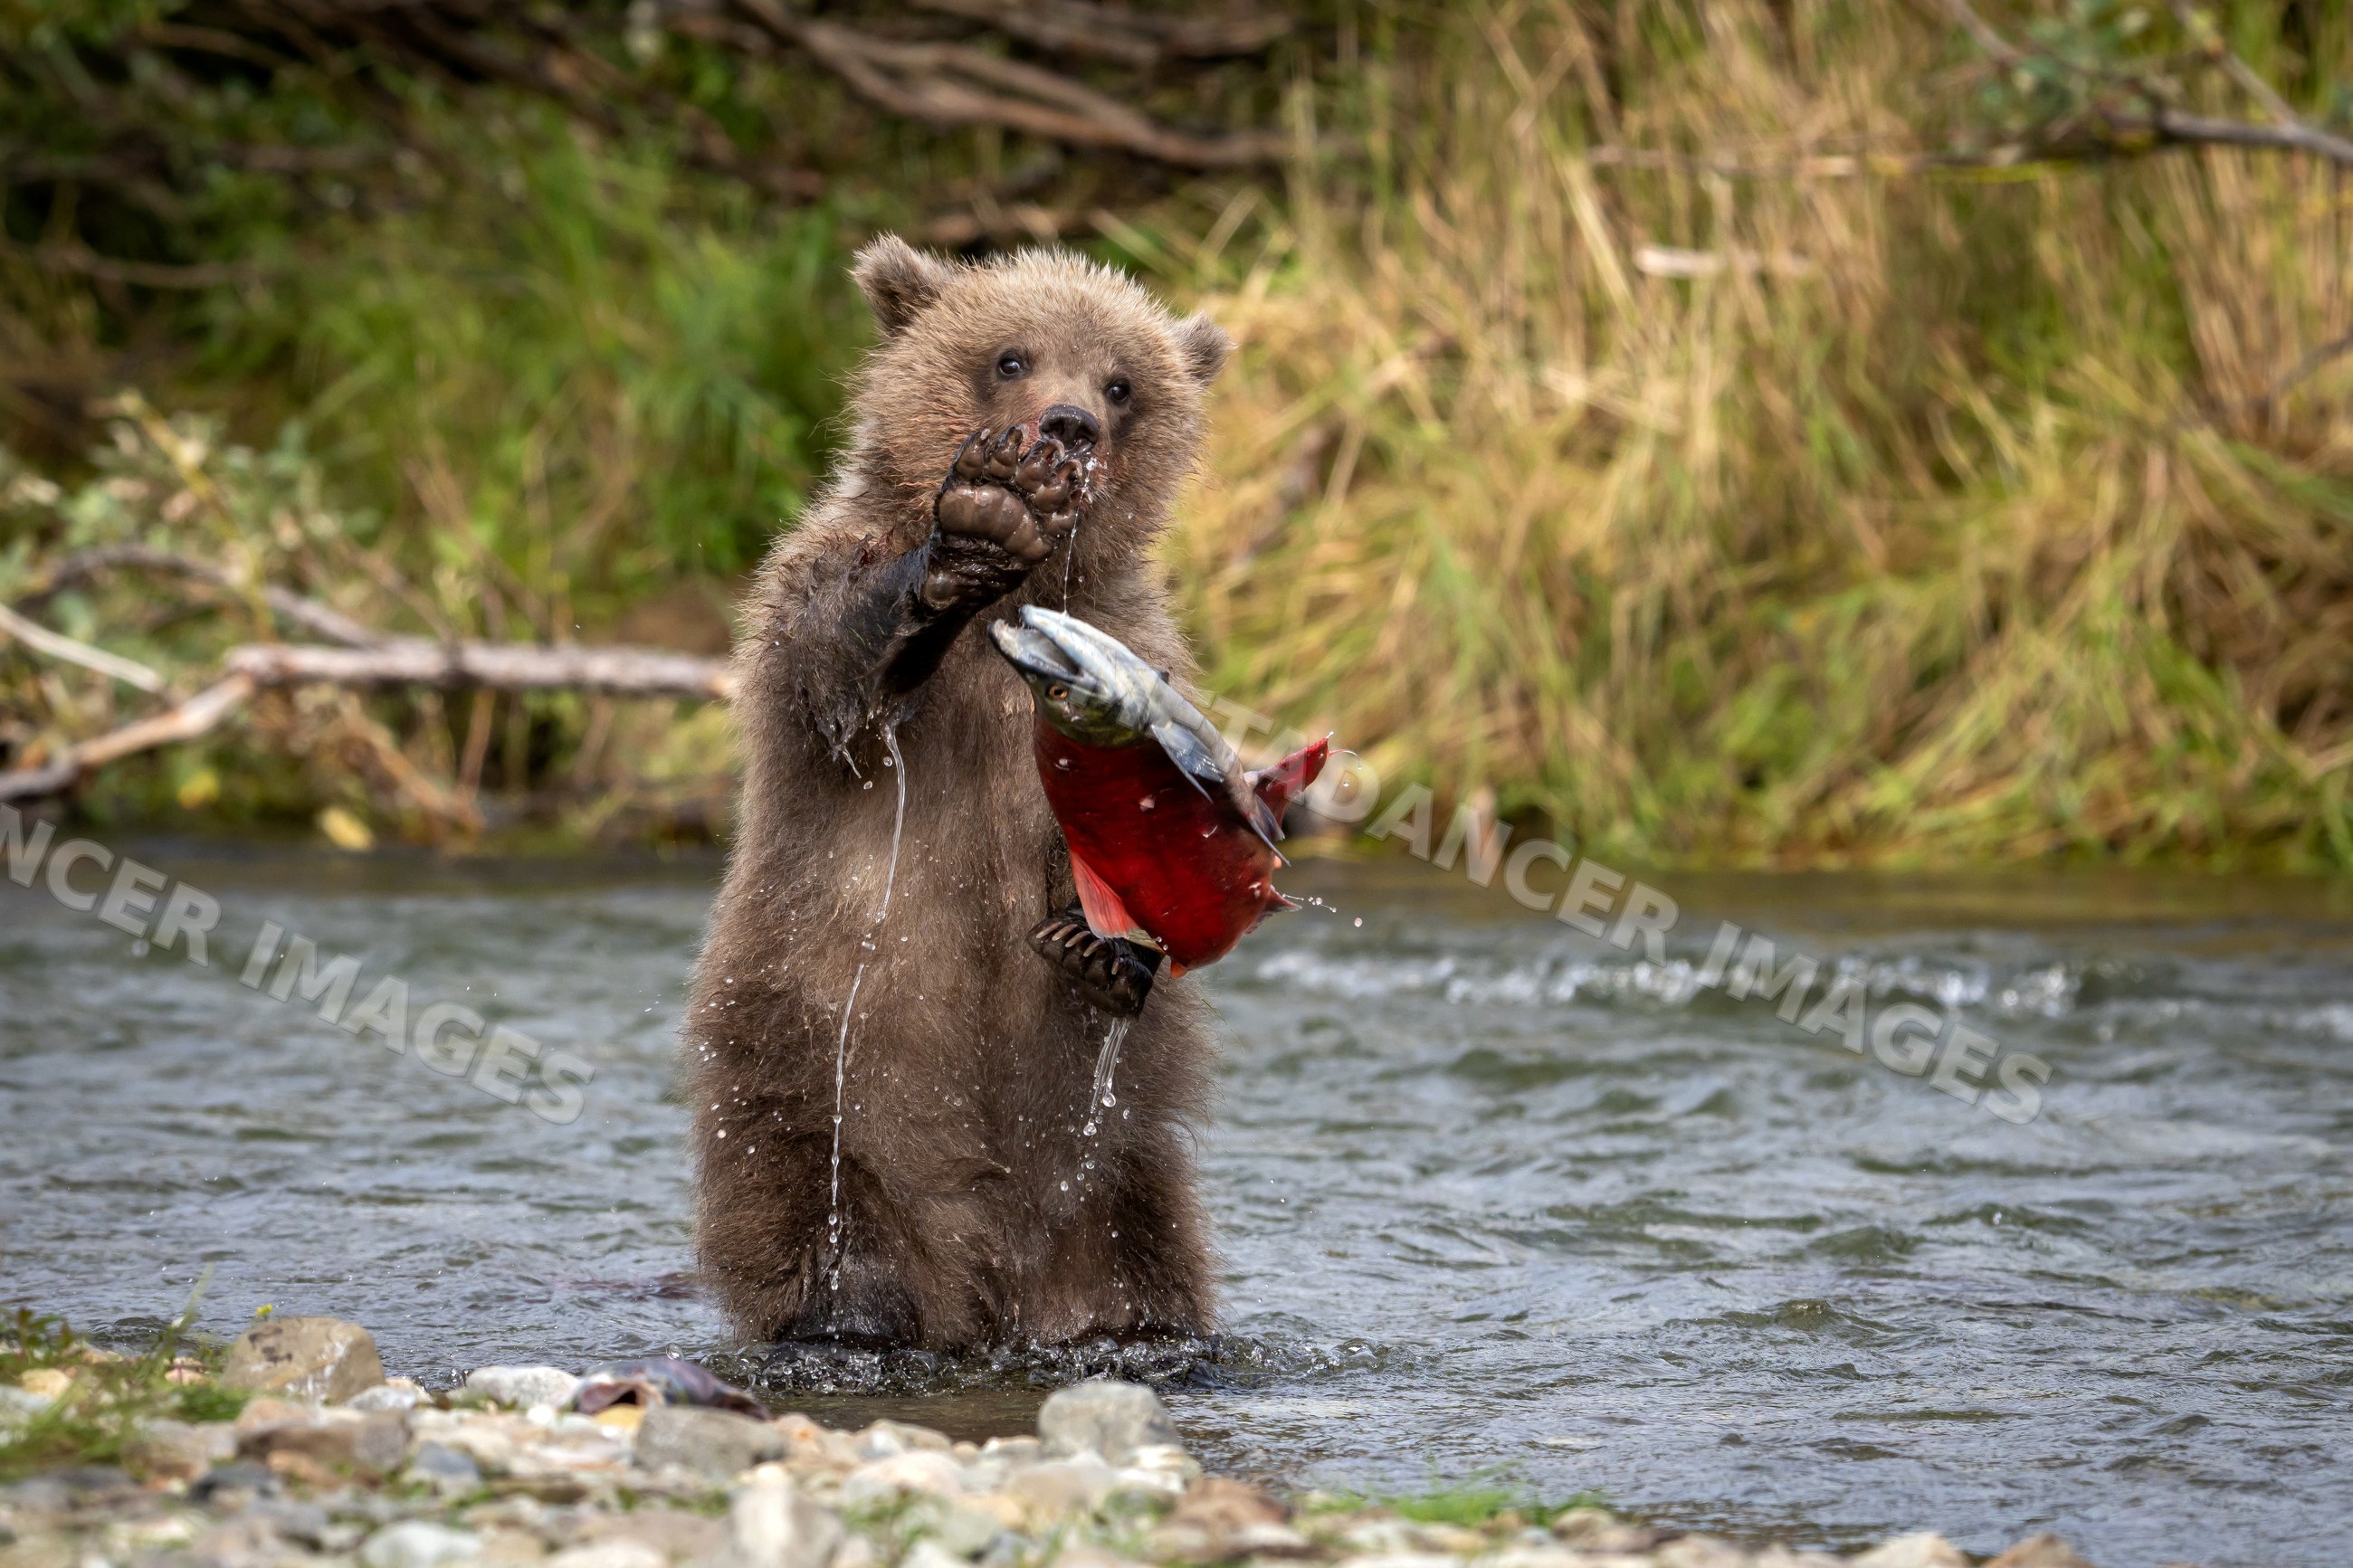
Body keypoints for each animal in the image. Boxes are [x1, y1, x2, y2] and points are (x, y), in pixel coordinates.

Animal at [682, 236, 1234, 1350]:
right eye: (1010, 355)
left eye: (1121, 381)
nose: (1067, 425)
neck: (1017, 606)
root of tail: (986, 1283)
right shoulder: (817, 594)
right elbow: (831, 657)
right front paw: (977, 521)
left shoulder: (1136, 641)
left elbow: (1126, 813)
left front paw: (1097, 942)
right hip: (807, 1084)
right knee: (816, 1232)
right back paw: (849, 1310)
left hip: (1116, 1182)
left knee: (1142, 1264)